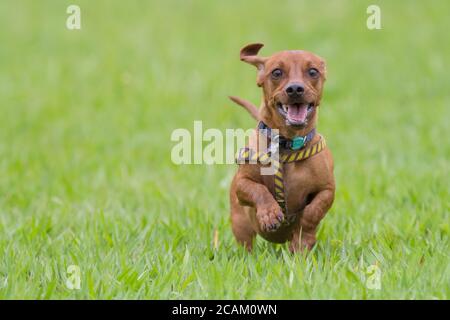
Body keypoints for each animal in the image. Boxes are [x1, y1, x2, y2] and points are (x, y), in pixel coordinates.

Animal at [229, 43, 334, 252]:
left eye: (313, 71)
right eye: (276, 72)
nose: (295, 89)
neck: (287, 146)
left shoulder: (328, 190)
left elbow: (313, 210)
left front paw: (303, 238)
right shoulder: (241, 184)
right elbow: (258, 190)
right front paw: (269, 213)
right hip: (240, 224)